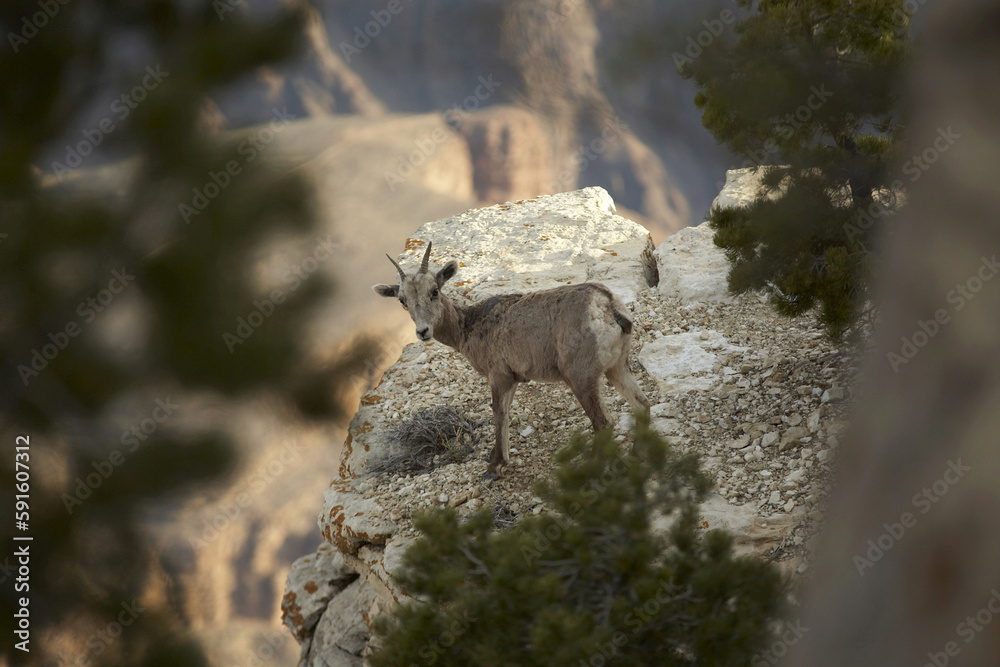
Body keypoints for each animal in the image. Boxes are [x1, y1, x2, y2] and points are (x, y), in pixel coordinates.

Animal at [373, 241, 650, 478]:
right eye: (402, 301)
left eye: (434, 291)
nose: (423, 332)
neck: (470, 326)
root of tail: (608, 307)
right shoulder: (514, 379)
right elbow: (506, 412)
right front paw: (495, 458)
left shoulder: (499, 376)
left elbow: (499, 413)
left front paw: (495, 467)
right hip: (617, 368)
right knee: (641, 405)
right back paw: (639, 454)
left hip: (581, 378)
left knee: (603, 423)